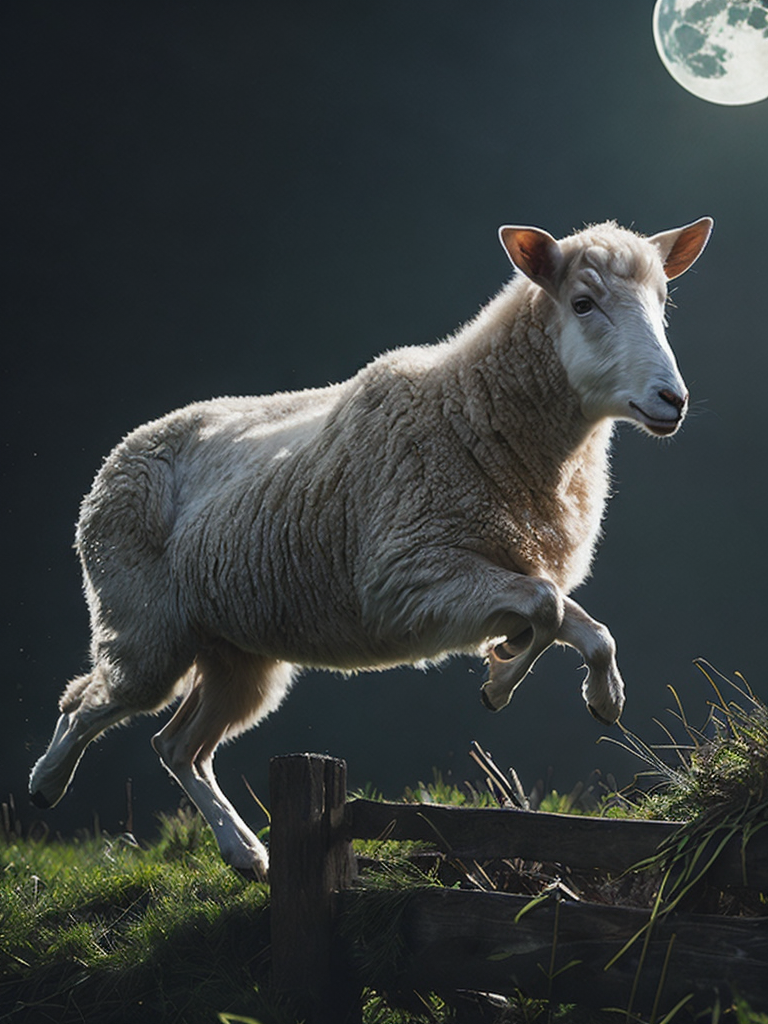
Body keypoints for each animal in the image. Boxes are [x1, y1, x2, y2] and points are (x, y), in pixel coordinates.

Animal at [30, 214, 716, 872]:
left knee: (176, 746)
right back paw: (46, 784)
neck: (477, 410)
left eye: (663, 301)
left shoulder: (495, 566)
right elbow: (548, 608)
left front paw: (592, 694)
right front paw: (501, 676)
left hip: (234, 649)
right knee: (86, 702)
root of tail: (123, 451)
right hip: (144, 623)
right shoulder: (409, 576)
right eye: (582, 303)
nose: (673, 400)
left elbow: (587, 628)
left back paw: (244, 853)